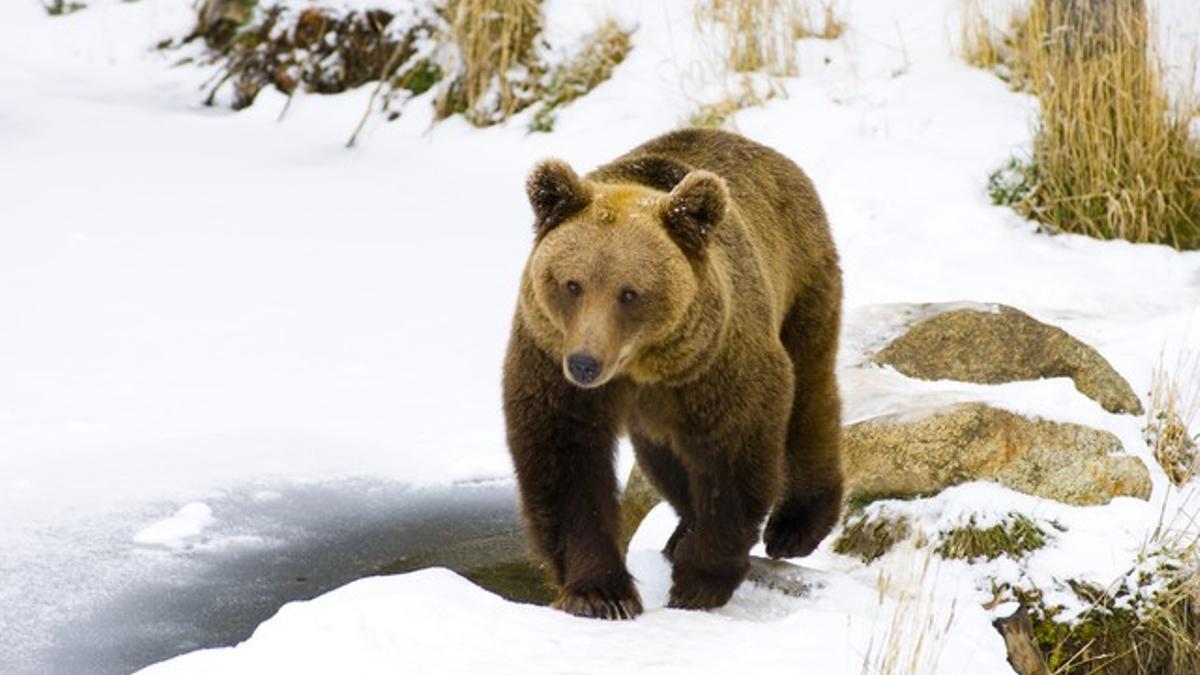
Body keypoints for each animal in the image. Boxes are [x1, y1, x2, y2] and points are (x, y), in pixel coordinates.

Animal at [501, 128, 840, 619]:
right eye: (571, 284)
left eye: (629, 293)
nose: (584, 363)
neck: (640, 365)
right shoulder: (550, 359)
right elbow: (565, 459)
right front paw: (601, 593)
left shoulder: (717, 359)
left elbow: (732, 454)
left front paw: (699, 581)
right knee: (663, 457)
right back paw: (682, 531)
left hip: (801, 282)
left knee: (810, 394)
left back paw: (795, 527)